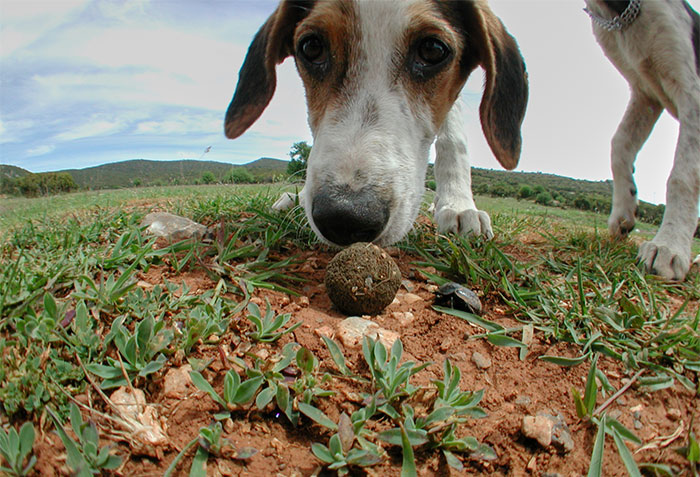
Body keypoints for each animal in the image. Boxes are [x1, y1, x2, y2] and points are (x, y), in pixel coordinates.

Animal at [584, 0, 700, 278]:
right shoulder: (646, 94)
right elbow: (619, 143)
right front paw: (623, 212)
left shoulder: (692, 94)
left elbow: (683, 175)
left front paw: (669, 245)